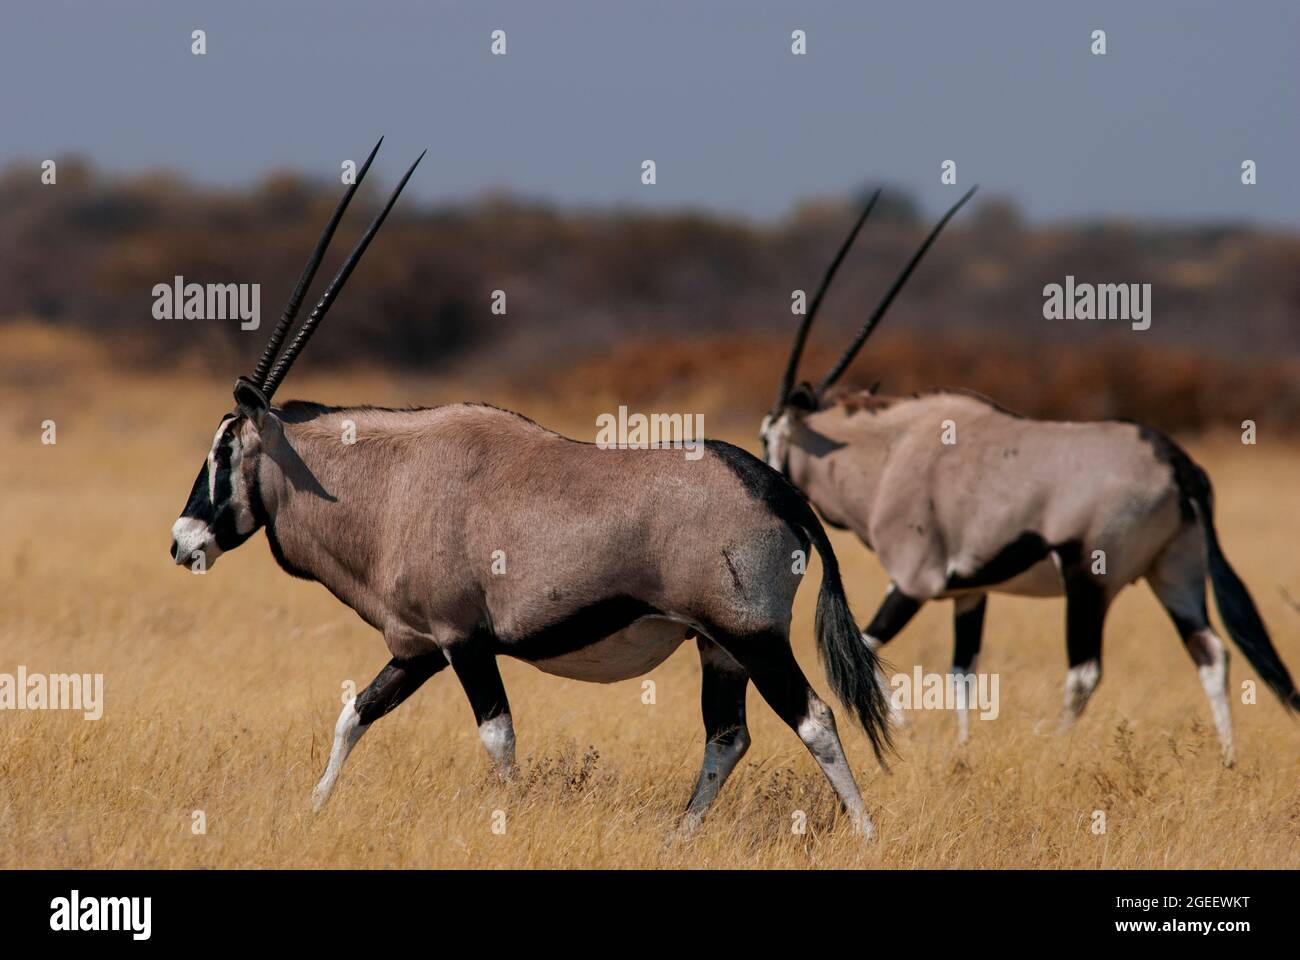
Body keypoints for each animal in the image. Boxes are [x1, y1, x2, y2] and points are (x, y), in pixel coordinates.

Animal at [167, 138, 894, 832]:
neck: (388, 483)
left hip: (753, 637)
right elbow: (355, 715)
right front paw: (312, 810)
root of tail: (775, 488)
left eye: (224, 448)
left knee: (814, 720)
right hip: (719, 649)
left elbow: (499, 740)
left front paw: (506, 818)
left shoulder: (461, 640)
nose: (182, 542)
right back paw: (680, 836)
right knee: (728, 736)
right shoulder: (418, 648)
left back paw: (864, 834)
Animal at [759, 183, 1300, 759]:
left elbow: (864, 641)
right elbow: (963, 671)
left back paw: (1057, 746)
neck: (888, 454)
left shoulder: (913, 578)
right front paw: (961, 751)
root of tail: (1175, 462)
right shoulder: (968, 591)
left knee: (1085, 671)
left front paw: (903, 732)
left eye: (766, 435)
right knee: (1210, 650)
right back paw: (1228, 758)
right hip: (1173, 571)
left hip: (1090, 577)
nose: (767, 487)